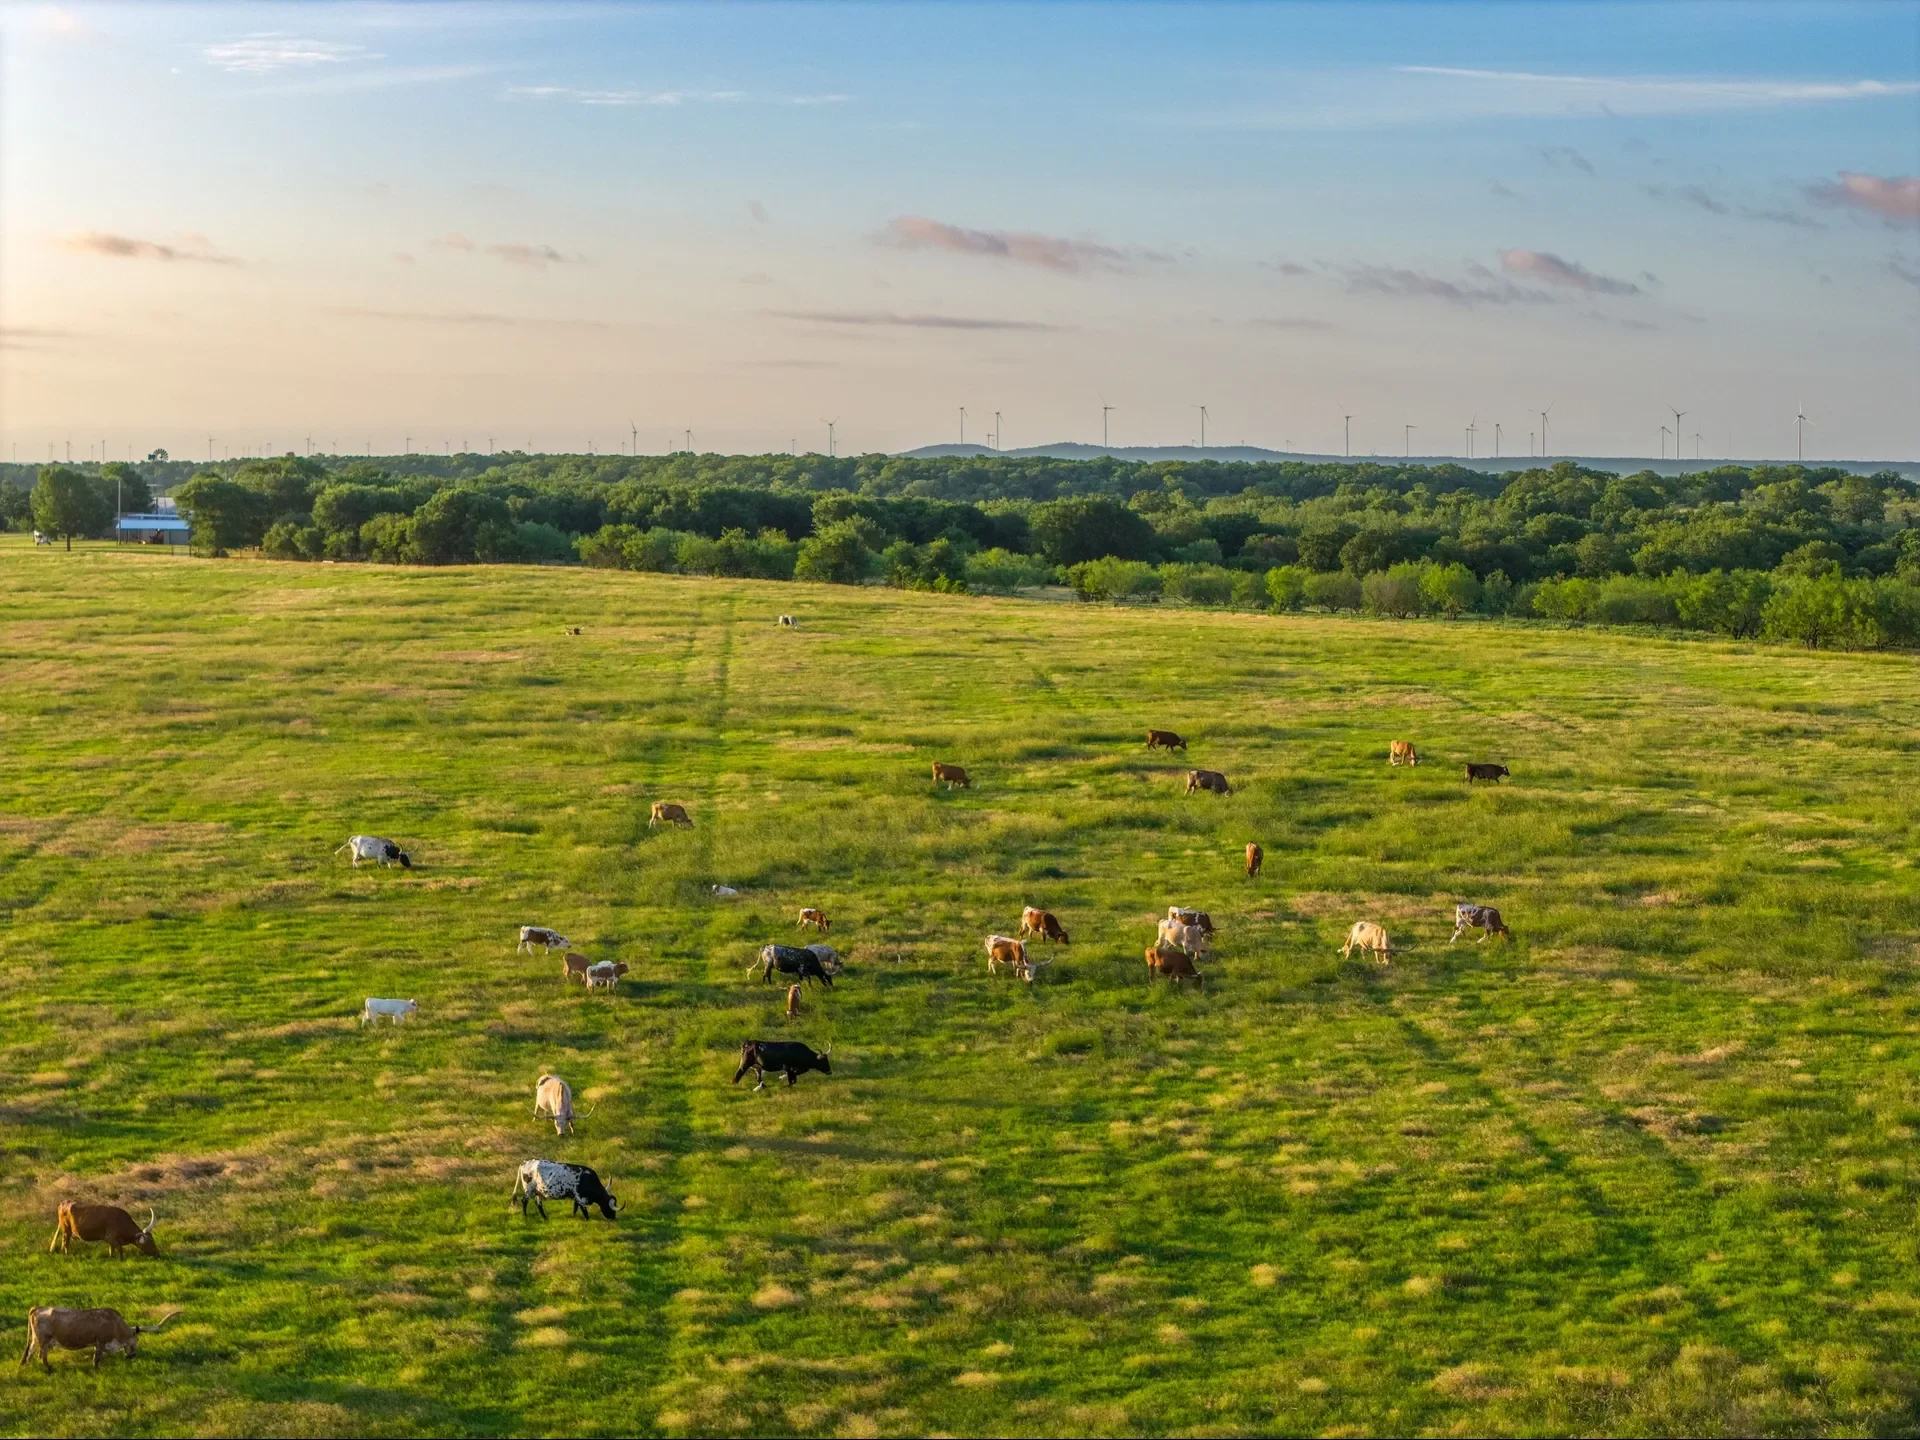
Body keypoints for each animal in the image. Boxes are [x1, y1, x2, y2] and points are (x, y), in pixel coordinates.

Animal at [18, 1306, 178, 1372]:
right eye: (137, 1341)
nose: (132, 1356)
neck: (115, 1324)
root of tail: (38, 1308)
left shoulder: (96, 1344)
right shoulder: (100, 1342)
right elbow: (97, 1359)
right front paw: (96, 1369)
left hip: (36, 1340)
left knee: (31, 1352)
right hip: (44, 1341)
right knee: (43, 1356)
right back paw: (49, 1369)